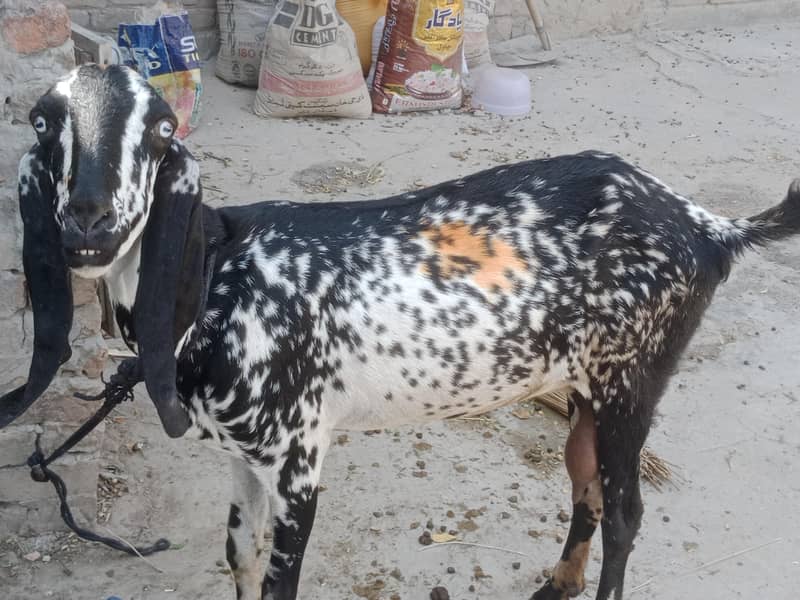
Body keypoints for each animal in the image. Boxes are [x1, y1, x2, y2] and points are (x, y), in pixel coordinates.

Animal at [1, 64, 798, 600]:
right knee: (588, 486)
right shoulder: (245, 459)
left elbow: (280, 578)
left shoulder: (298, 457)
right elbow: (241, 556)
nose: (90, 222)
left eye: (163, 127)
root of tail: (706, 226)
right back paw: (559, 580)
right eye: (43, 121)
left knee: (628, 512)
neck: (225, 279)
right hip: (585, 391)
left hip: (633, 380)